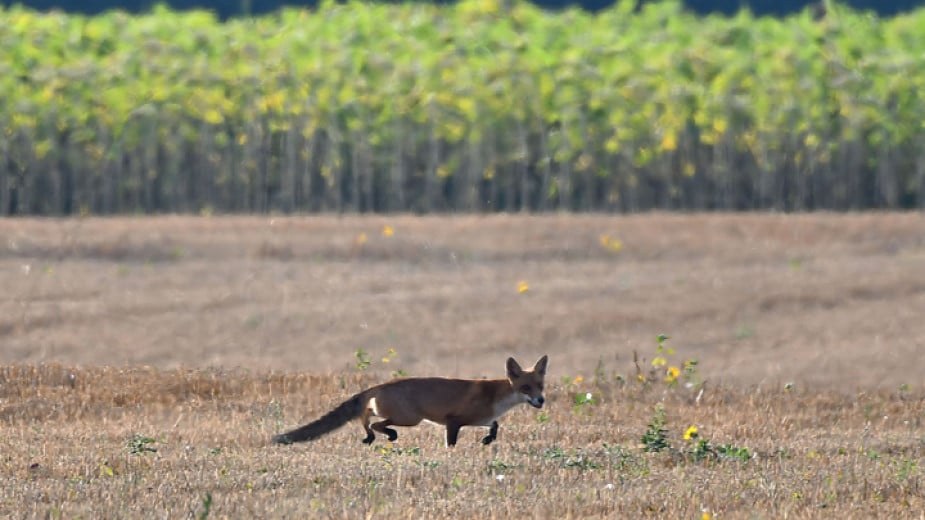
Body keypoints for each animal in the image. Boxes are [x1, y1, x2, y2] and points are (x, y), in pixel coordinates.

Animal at [274, 354, 548, 446]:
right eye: (525, 387)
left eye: (540, 386)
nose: (541, 400)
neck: (495, 398)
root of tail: (382, 384)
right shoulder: (453, 421)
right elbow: (451, 443)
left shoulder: (481, 419)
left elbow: (495, 425)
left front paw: (489, 439)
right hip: (410, 419)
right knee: (375, 421)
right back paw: (383, 435)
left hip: (397, 414)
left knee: (367, 415)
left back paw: (371, 436)